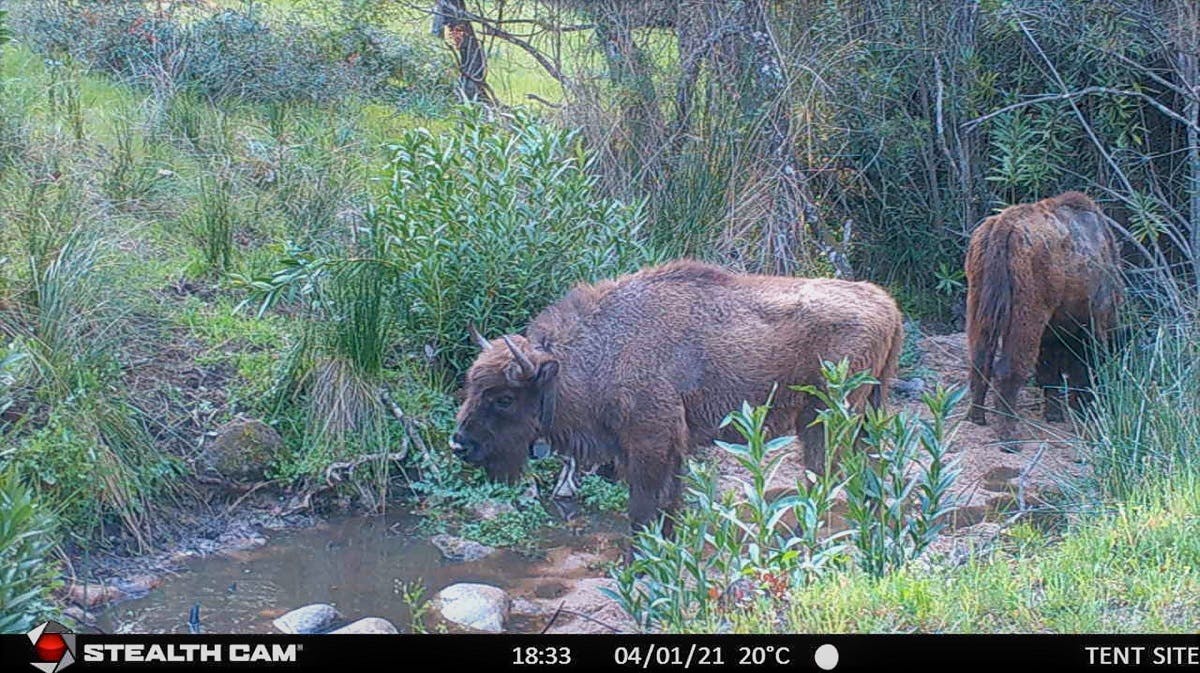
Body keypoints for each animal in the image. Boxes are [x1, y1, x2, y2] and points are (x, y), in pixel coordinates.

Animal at [448, 256, 902, 535]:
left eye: (503, 398)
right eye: (471, 386)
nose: (459, 445)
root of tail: (886, 303)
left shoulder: (649, 444)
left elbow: (643, 510)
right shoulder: (669, 449)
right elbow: (669, 506)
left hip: (825, 419)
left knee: (829, 476)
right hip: (861, 416)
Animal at [964, 189, 1123, 446]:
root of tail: (1002, 227)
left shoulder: (1054, 328)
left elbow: (1050, 371)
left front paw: (1055, 414)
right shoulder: (1091, 319)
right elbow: (1082, 363)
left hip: (979, 305)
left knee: (980, 361)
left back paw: (976, 417)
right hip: (1027, 313)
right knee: (1009, 368)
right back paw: (1009, 436)